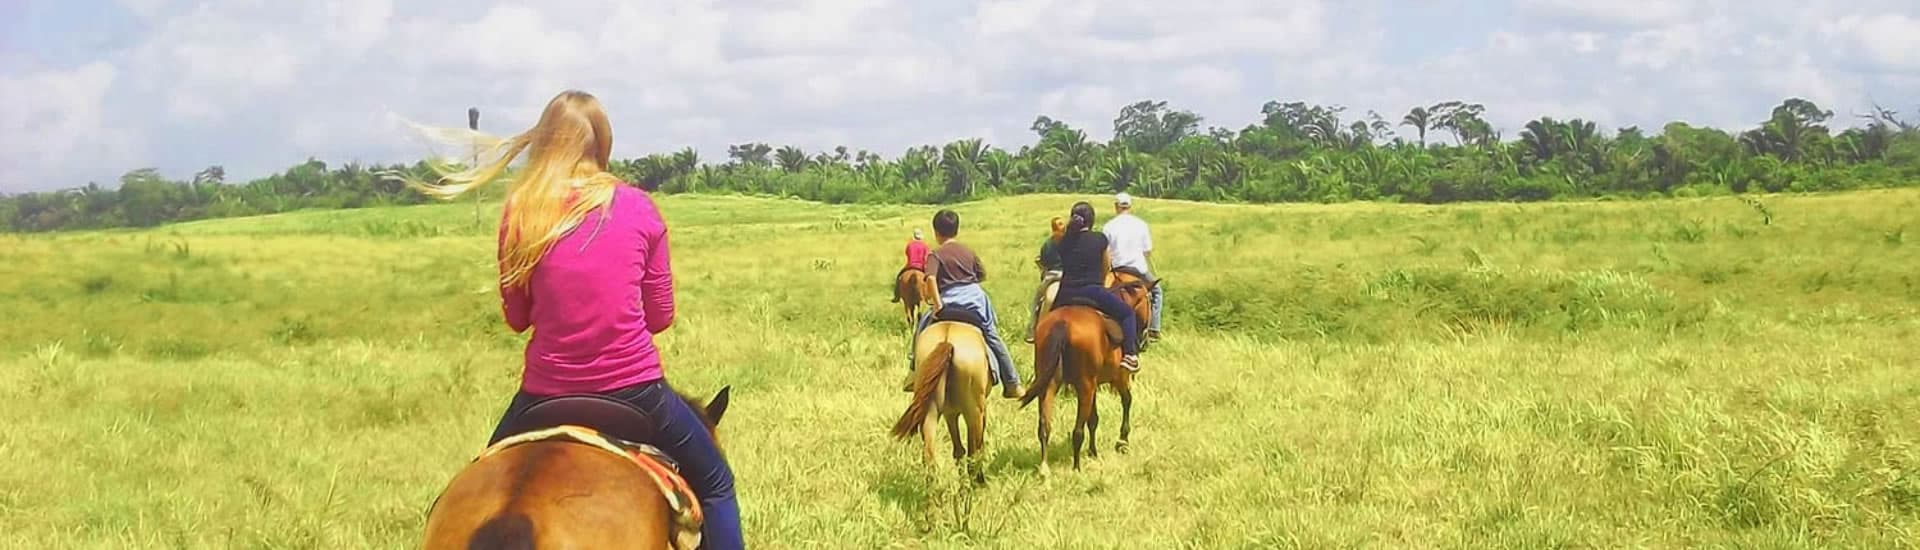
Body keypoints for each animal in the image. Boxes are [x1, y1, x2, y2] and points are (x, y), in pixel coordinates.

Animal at [894, 319, 998, 482]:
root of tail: (947, 341)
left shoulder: (950, 413)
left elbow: (958, 450)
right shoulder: (980, 411)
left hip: (930, 412)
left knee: (929, 456)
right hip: (974, 412)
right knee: (973, 455)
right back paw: (977, 483)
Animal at [1021, 276, 1152, 475]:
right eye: (1150, 301)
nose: (1146, 338)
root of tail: (1063, 324)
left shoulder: (1095, 386)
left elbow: (1093, 419)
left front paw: (1093, 451)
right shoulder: (1119, 377)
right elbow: (1127, 401)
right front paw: (1122, 442)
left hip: (1051, 384)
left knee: (1044, 426)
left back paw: (1044, 468)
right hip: (1085, 386)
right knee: (1077, 431)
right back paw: (1076, 468)